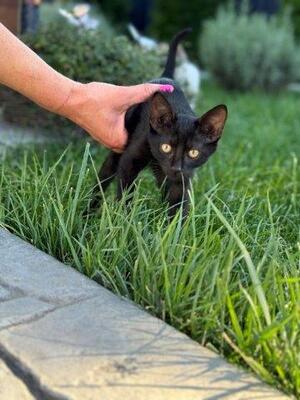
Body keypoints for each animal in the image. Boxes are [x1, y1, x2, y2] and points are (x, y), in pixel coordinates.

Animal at [89, 28, 227, 219]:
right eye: (166, 147)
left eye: (193, 152)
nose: (176, 167)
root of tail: (167, 78)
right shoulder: (129, 160)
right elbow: (126, 193)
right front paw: (126, 219)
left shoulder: (182, 179)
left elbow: (178, 205)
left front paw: (173, 226)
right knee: (104, 176)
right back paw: (88, 211)